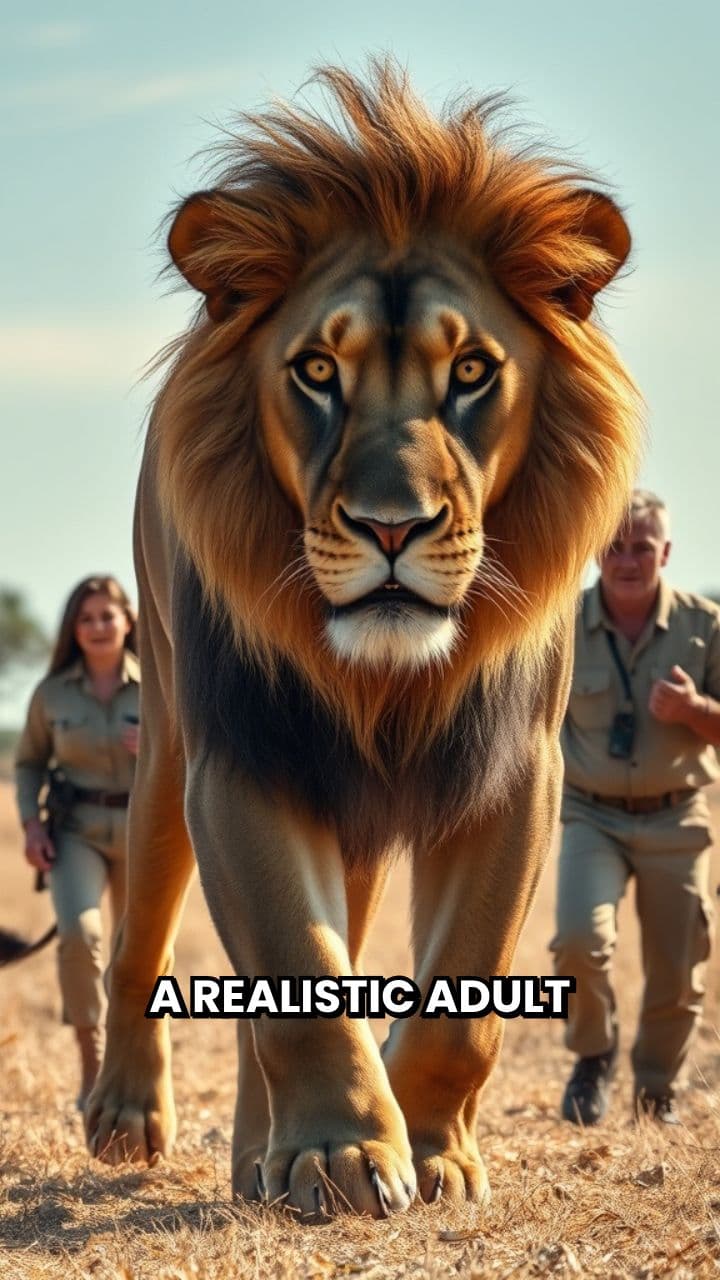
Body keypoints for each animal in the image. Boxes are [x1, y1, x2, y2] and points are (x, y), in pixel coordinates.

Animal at [85, 62, 641, 1218]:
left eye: (470, 370)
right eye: (314, 371)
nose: (393, 527)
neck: (382, 679)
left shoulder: (516, 769)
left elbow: (460, 999)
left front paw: (428, 1150)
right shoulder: (244, 755)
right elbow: (297, 965)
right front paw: (341, 1152)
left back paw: (261, 1155)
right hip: (166, 743)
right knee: (144, 929)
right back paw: (134, 1117)